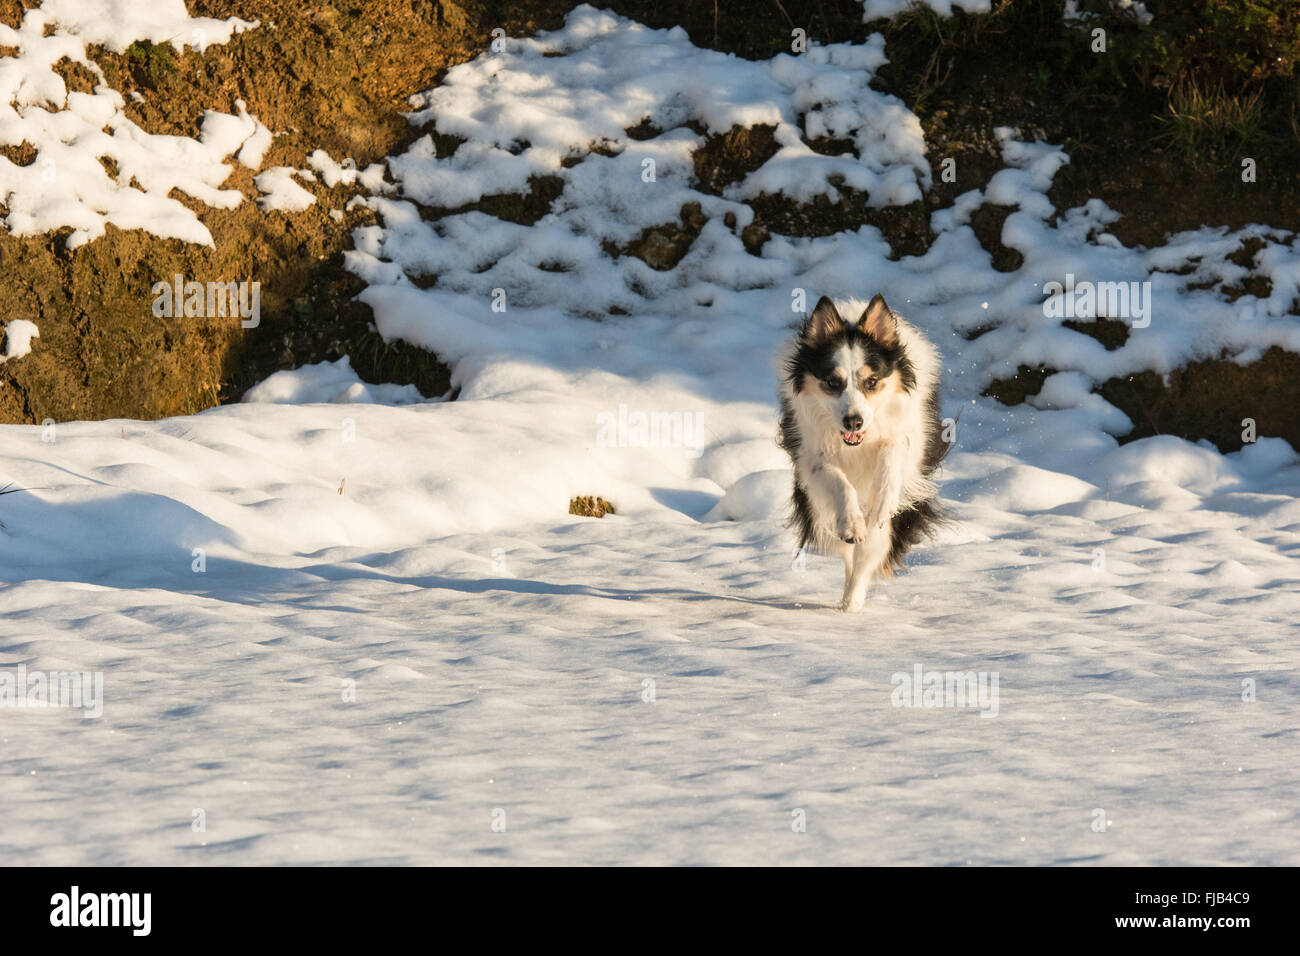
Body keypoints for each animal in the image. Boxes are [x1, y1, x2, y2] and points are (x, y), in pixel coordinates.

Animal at [774, 291, 951, 613]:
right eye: (833, 382)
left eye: (872, 382)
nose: (853, 421)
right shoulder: (810, 454)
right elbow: (838, 481)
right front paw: (852, 523)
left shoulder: (910, 439)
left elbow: (893, 452)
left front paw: (883, 502)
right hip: (816, 510)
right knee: (849, 553)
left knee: (871, 552)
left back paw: (853, 604)